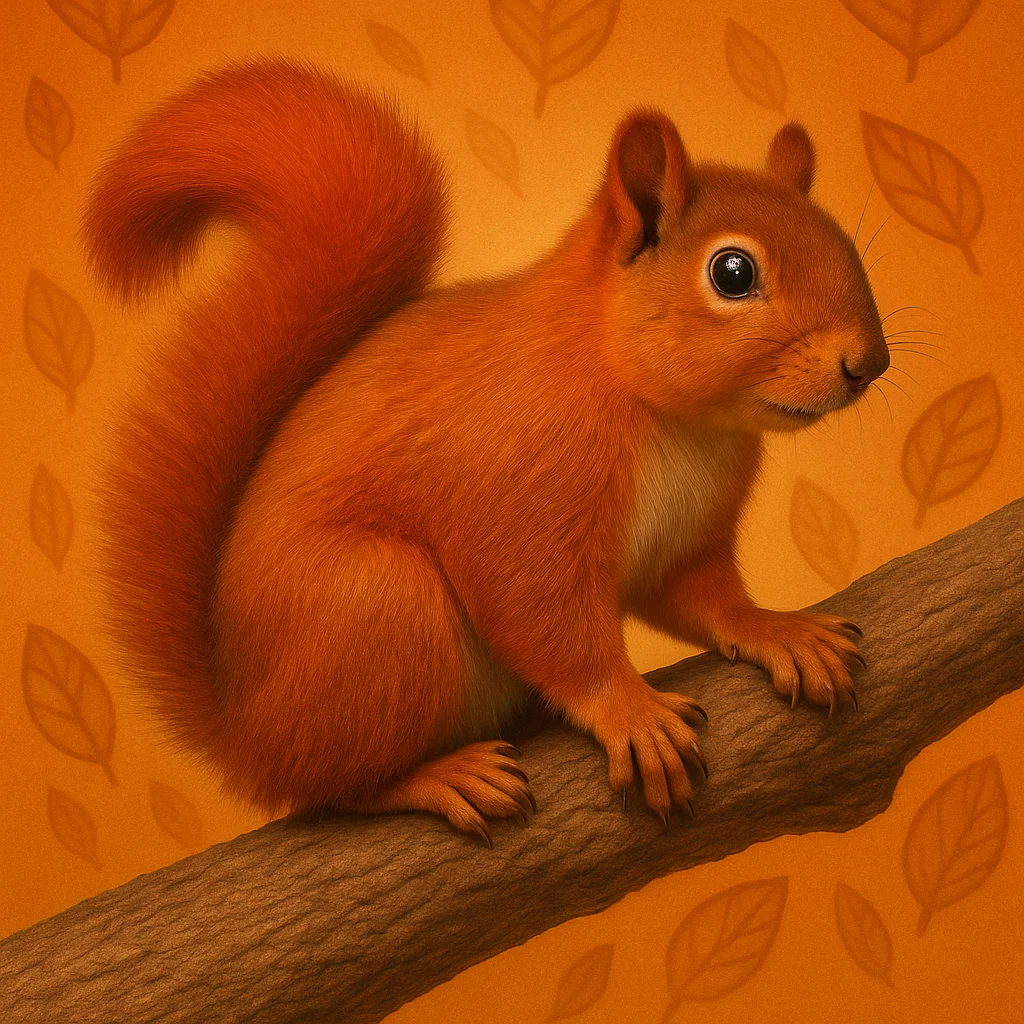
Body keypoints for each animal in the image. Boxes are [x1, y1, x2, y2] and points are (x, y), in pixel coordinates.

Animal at [86, 58, 888, 843]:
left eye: (844, 241)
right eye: (732, 273)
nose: (869, 364)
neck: (675, 420)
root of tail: (244, 731)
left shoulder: (686, 539)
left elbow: (705, 599)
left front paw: (776, 631)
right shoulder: (522, 500)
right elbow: (548, 624)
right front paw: (631, 712)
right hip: (377, 606)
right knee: (328, 789)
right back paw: (436, 777)